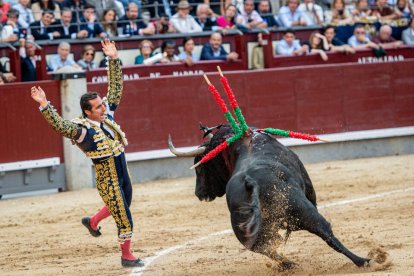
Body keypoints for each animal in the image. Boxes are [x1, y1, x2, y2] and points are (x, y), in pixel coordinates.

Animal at [169, 126, 372, 268]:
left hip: (244, 228)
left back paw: (288, 264)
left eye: (201, 165)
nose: (199, 193)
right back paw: (364, 261)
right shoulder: (309, 190)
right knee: (326, 233)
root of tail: (251, 181)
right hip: (304, 210)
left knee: (263, 248)